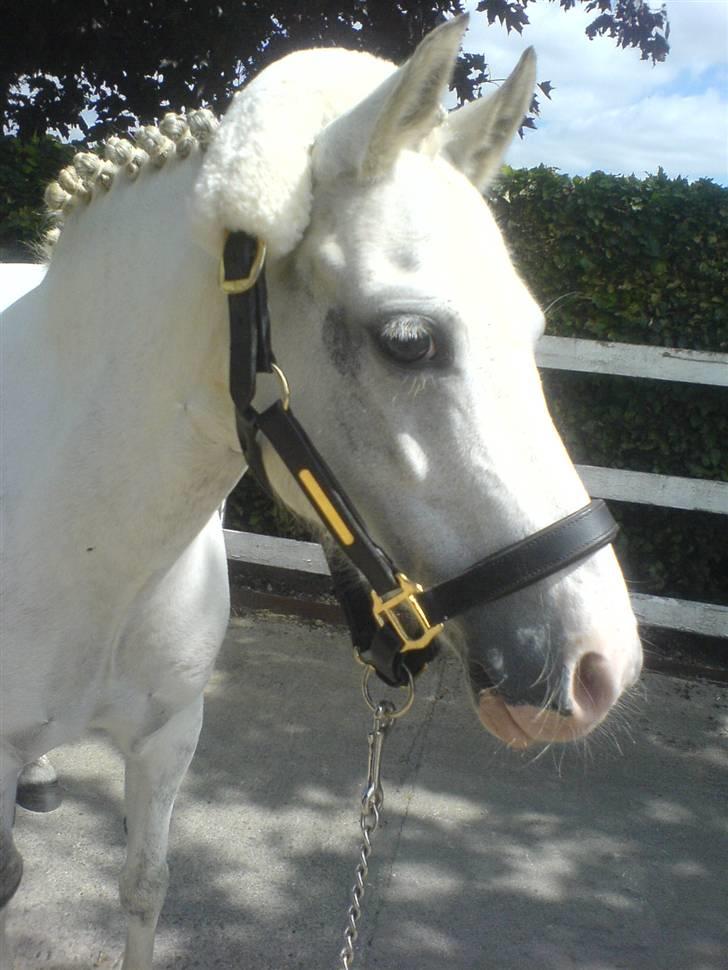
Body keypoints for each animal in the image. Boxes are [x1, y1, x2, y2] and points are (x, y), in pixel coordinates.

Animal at [0, 16, 641, 969]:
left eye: (530, 332)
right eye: (408, 340)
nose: (604, 664)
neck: (87, 541)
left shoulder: (168, 736)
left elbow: (145, 887)